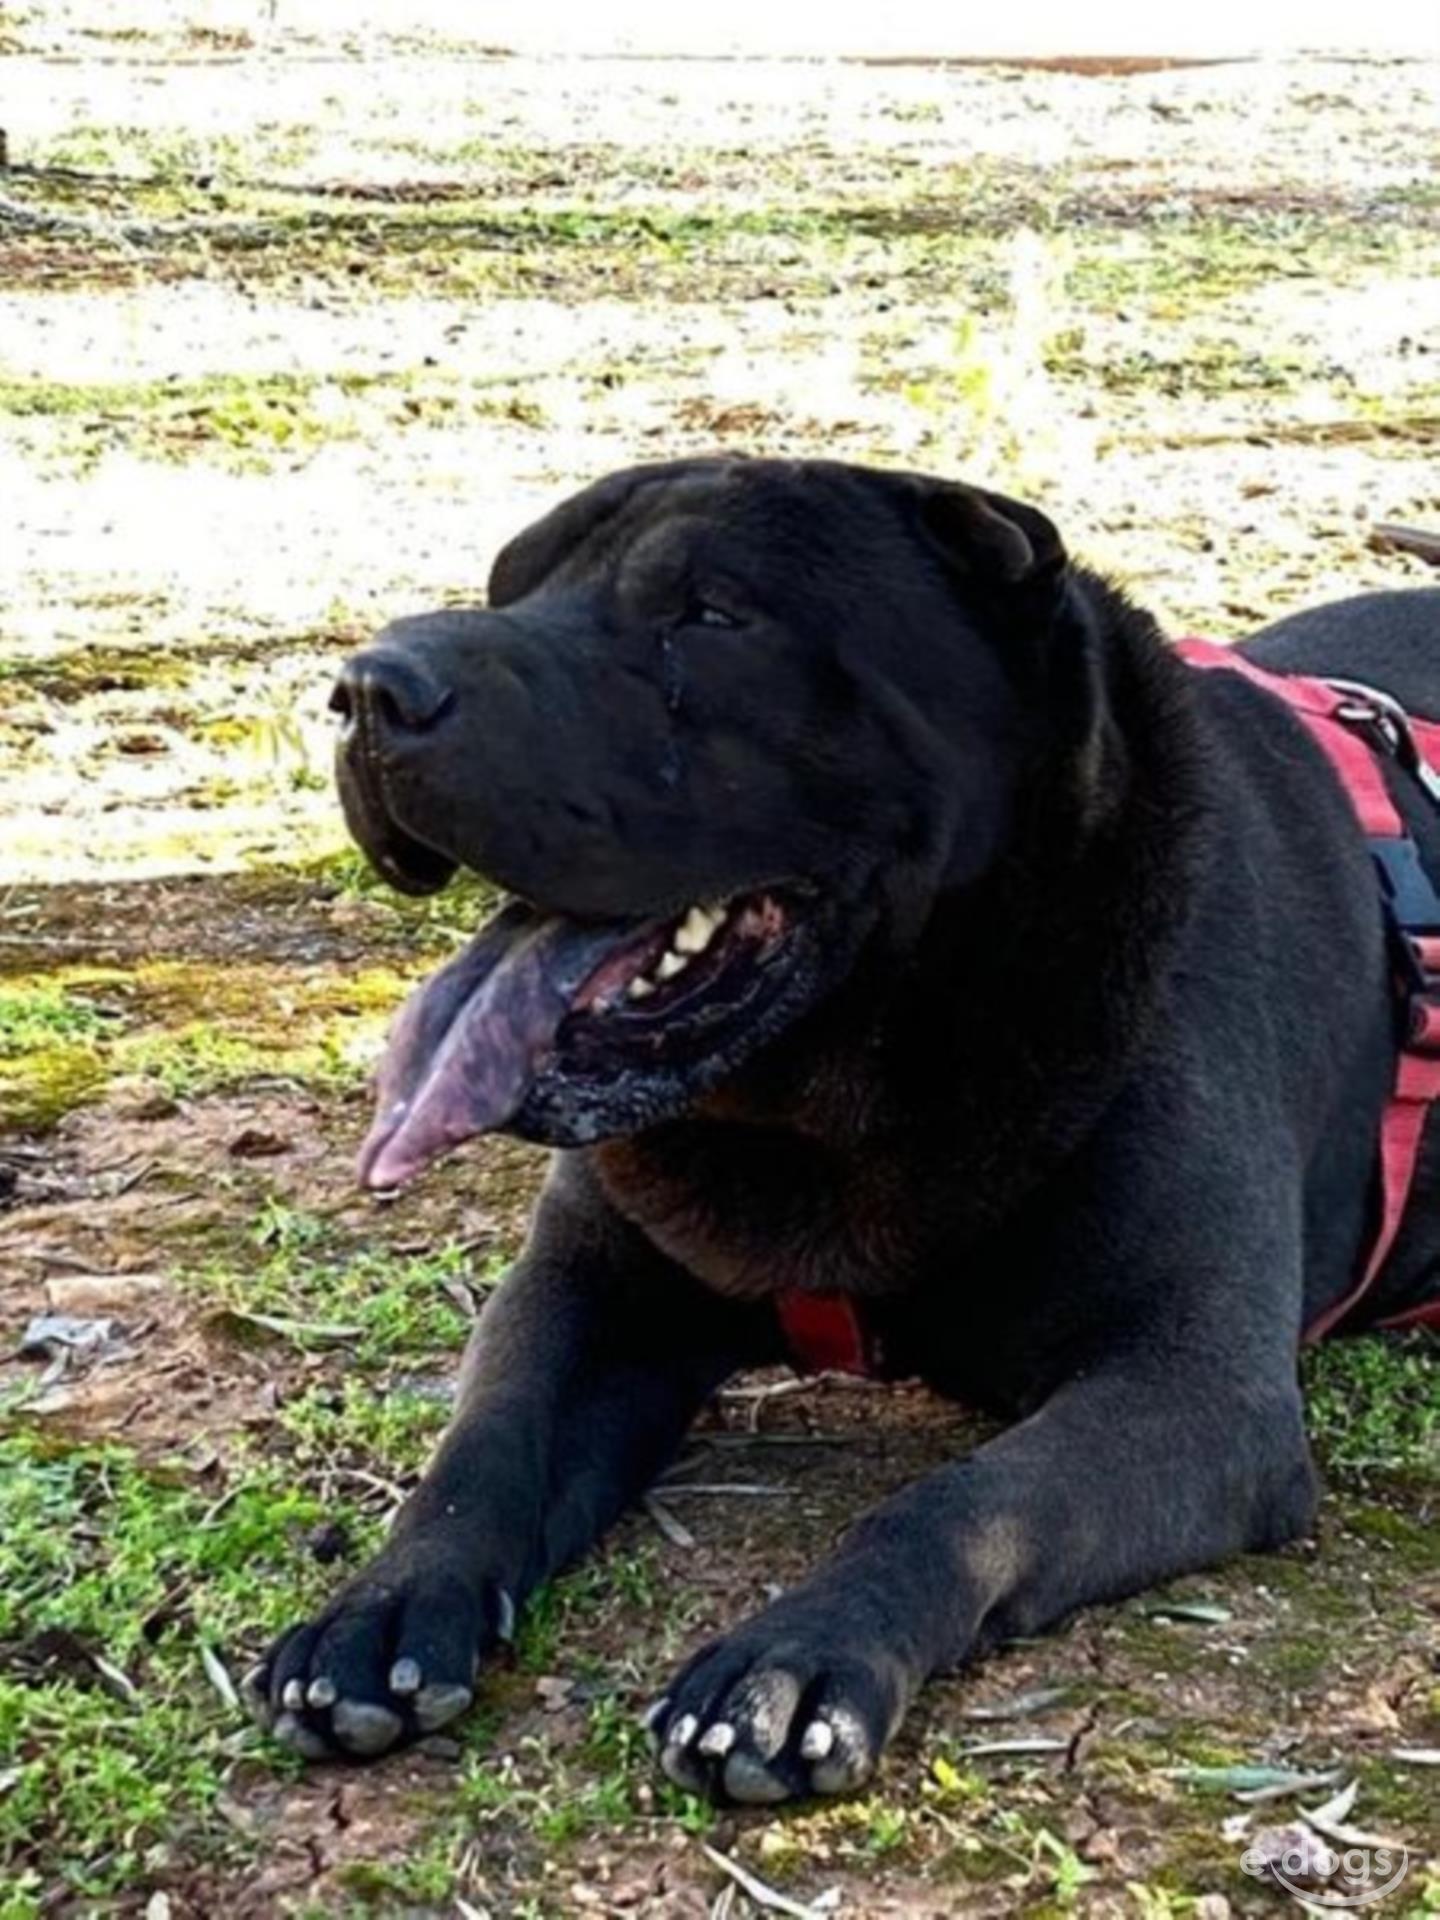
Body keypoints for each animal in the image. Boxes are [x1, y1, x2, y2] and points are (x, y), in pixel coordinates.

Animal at [247, 460, 1440, 1797]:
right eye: (512, 584)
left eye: (712, 615)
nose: (366, 688)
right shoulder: (589, 1286)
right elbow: (485, 1443)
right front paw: (386, 1603)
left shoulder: (1193, 1385)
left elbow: (967, 1502)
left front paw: (802, 1655)